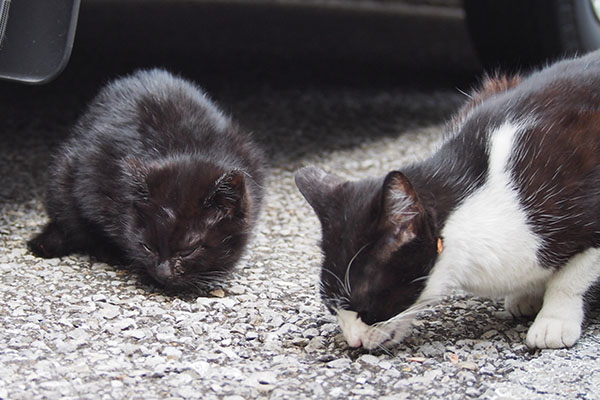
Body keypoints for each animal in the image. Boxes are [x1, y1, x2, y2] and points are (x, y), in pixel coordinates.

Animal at [27, 67, 262, 290]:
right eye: (148, 247)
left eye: (189, 251)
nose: (163, 273)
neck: (187, 149)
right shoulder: (91, 181)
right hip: (62, 172)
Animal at [296, 50, 600, 350]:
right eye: (332, 308)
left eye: (365, 306)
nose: (353, 341)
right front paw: (527, 293)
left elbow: (572, 278)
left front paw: (554, 320)